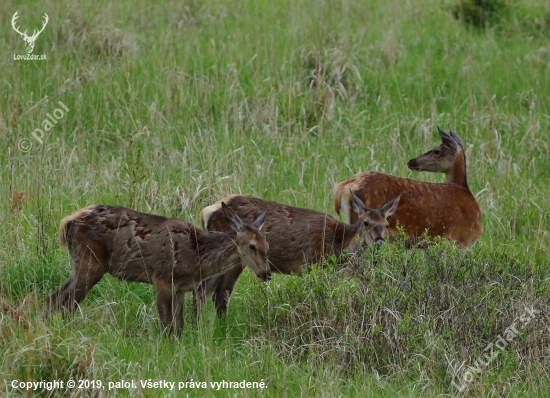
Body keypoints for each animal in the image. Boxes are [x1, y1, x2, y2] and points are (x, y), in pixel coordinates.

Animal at [46, 204, 270, 334]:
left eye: (267, 245)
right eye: (252, 246)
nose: (266, 273)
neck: (197, 257)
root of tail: (66, 222)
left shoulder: (181, 287)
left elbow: (179, 326)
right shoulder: (162, 279)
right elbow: (166, 326)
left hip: (80, 264)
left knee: (54, 299)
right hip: (90, 262)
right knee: (65, 302)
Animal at [196, 192, 398, 318]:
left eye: (386, 224)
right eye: (365, 222)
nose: (379, 240)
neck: (339, 245)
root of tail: (205, 212)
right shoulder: (315, 263)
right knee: (217, 294)